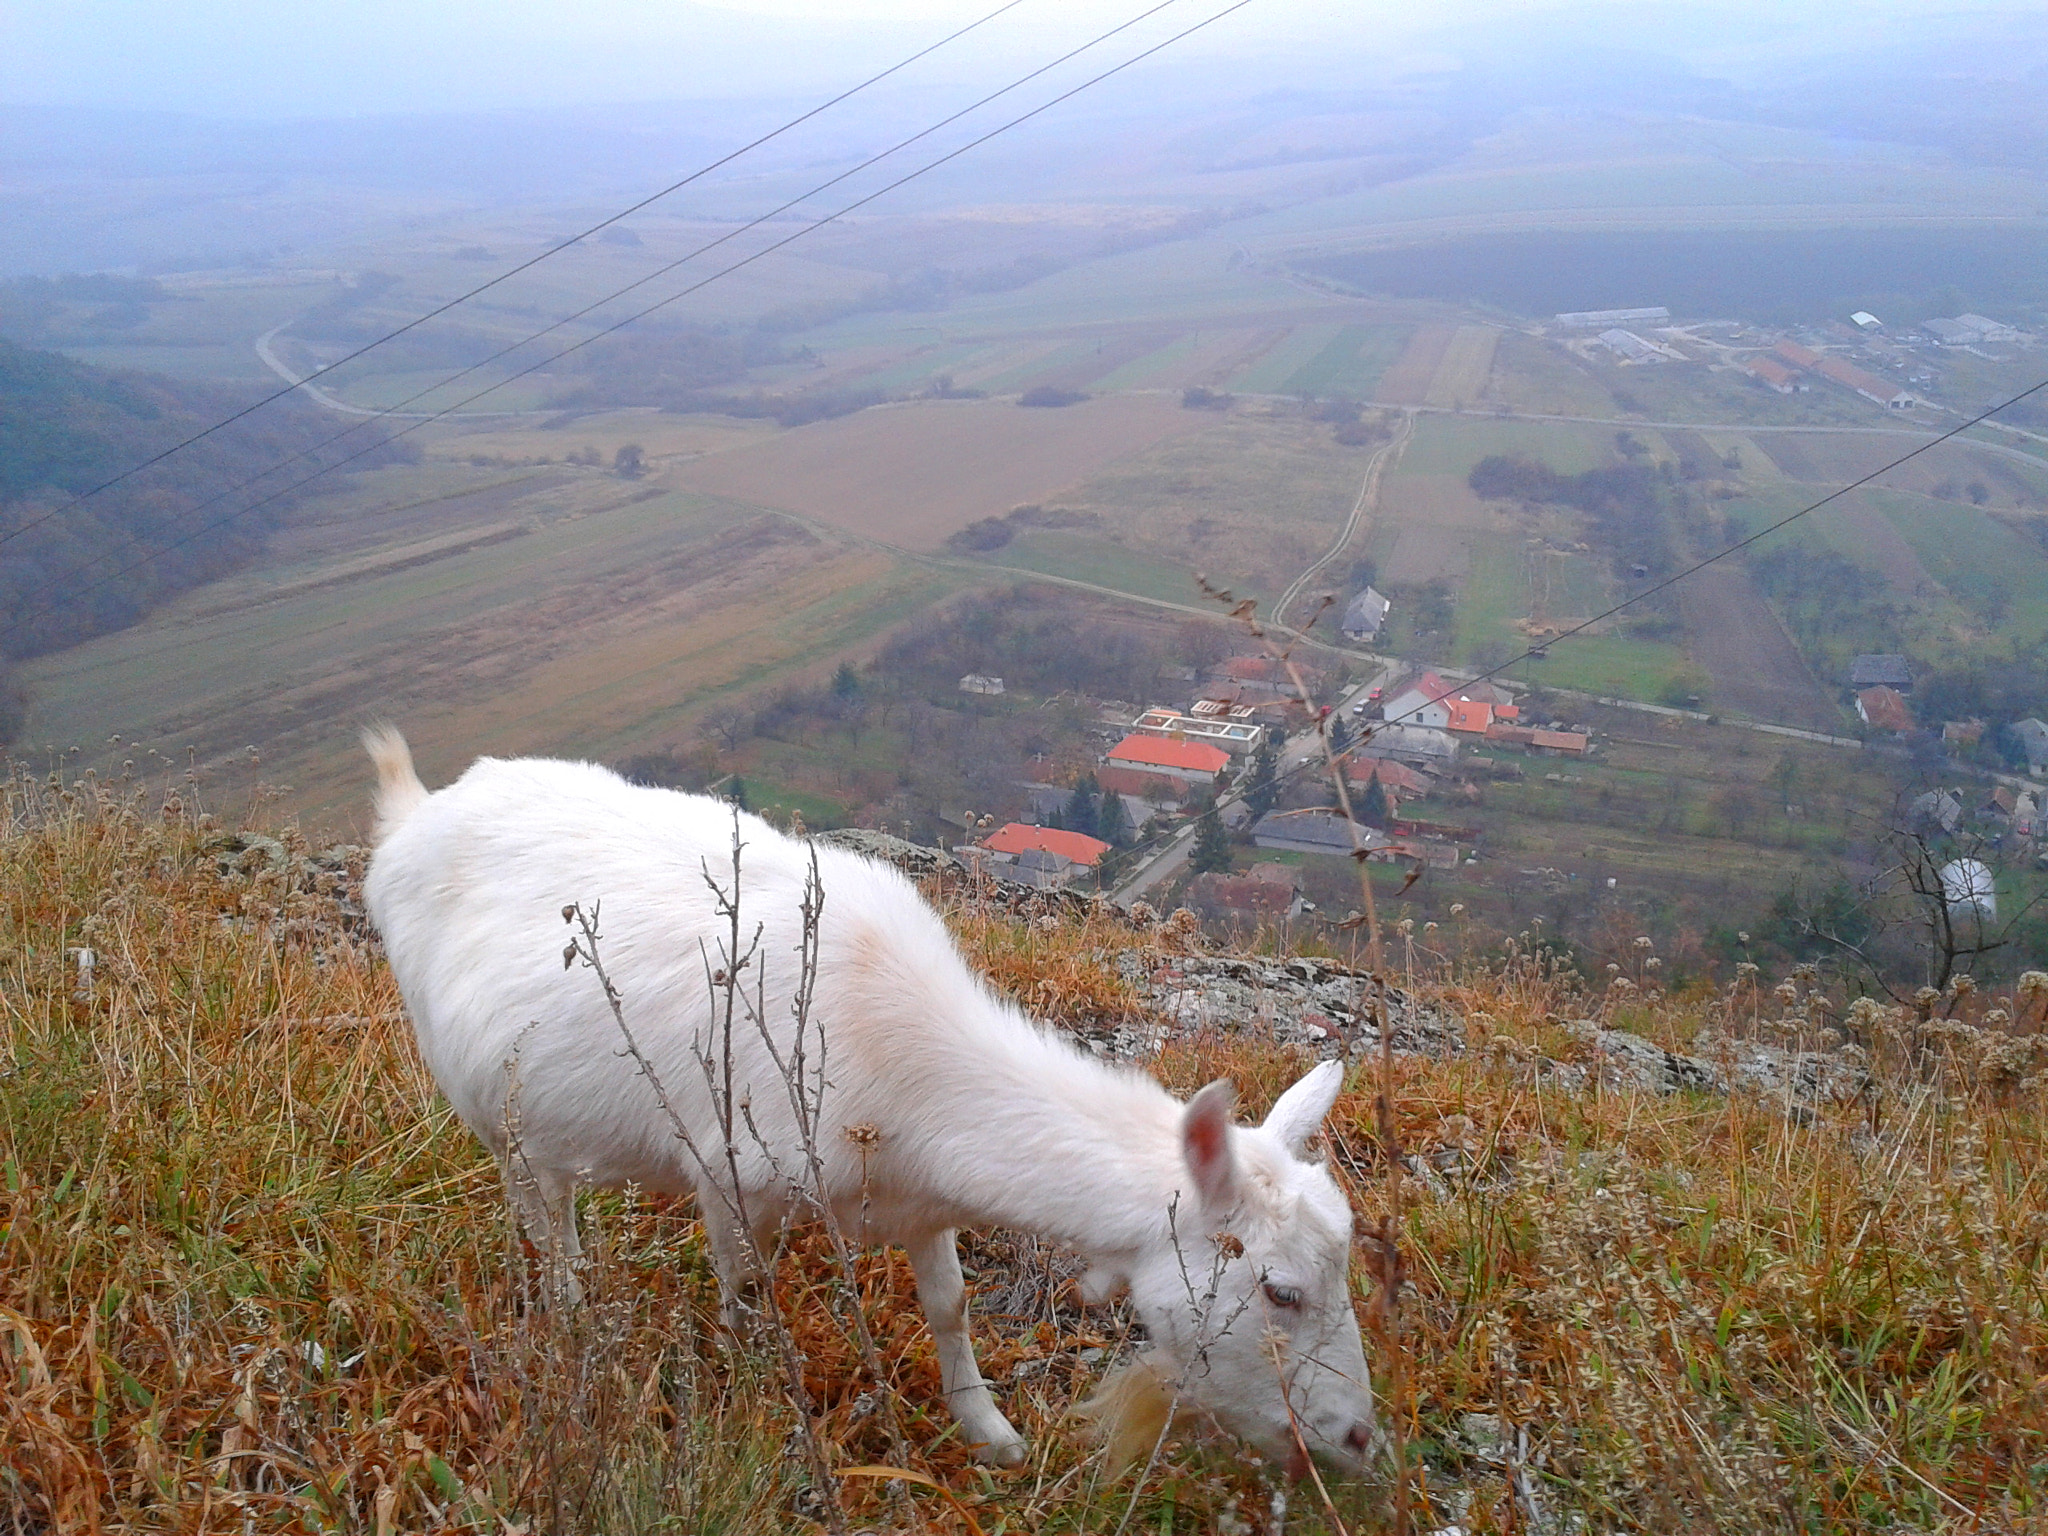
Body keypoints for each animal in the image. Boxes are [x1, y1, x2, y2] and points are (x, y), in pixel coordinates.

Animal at [361, 726, 1377, 1473]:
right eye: (1280, 1292)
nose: (1361, 1437)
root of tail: (416, 806)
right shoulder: (731, 1178)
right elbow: (746, 1297)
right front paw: (755, 1399)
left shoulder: (922, 1200)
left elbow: (952, 1306)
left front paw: (989, 1433)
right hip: (487, 1104)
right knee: (540, 1213)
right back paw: (573, 1320)